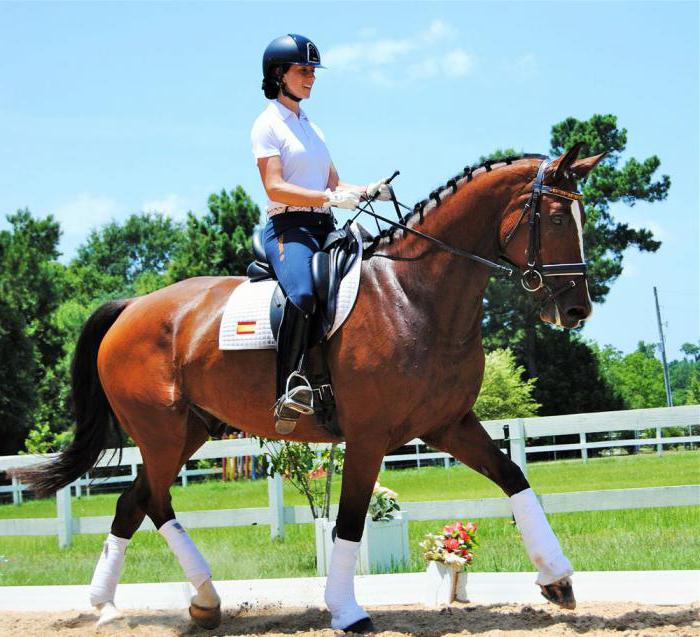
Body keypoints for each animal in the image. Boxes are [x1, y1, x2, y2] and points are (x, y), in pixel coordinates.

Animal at [19, 143, 604, 632]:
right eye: (557, 217)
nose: (576, 310)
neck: (413, 296)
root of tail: (131, 307)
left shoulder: (447, 424)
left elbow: (514, 478)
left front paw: (558, 580)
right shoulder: (369, 436)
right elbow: (349, 521)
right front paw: (346, 612)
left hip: (190, 430)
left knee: (135, 502)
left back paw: (148, 603)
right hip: (160, 432)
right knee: (153, 501)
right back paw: (147, 602)